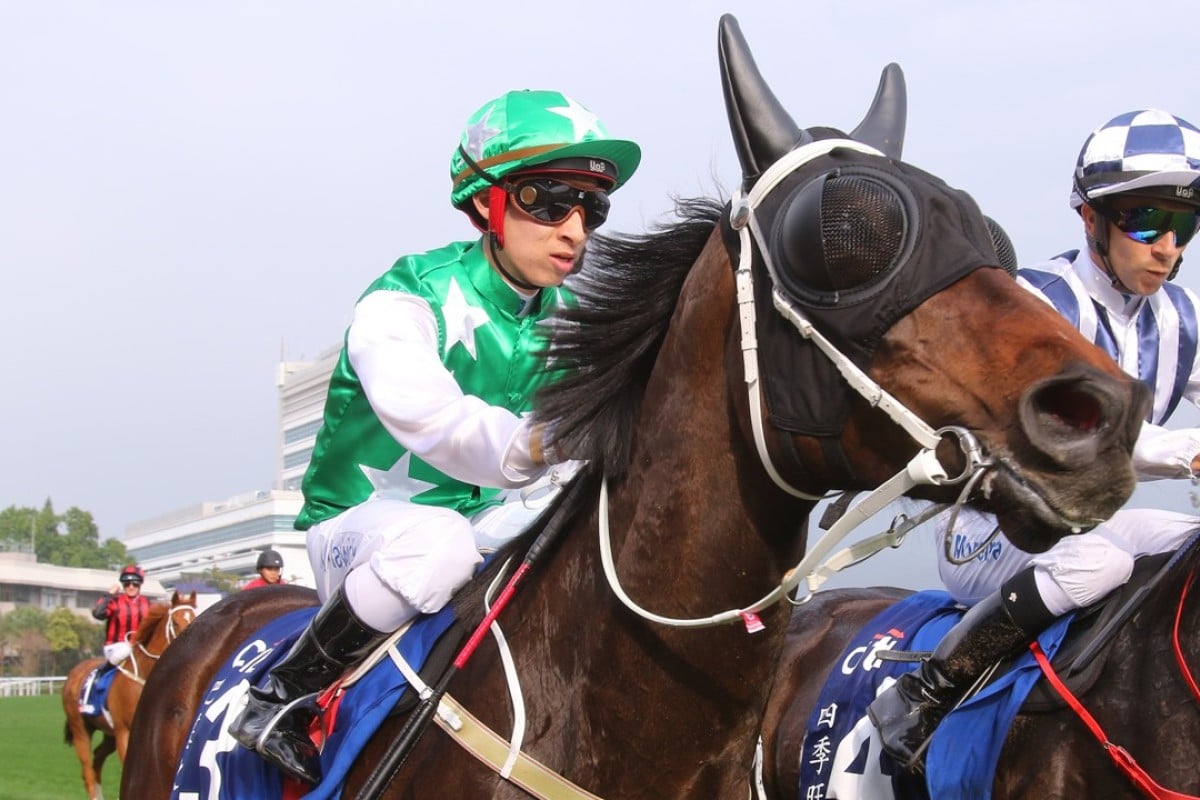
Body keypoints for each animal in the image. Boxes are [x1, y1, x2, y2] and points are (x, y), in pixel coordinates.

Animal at [61, 592, 194, 800]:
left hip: (109, 734)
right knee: (87, 771)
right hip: (81, 729)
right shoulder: (124, 732)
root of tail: (73, 674)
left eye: (195, 617)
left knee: (97, 760)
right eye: (175, 622)